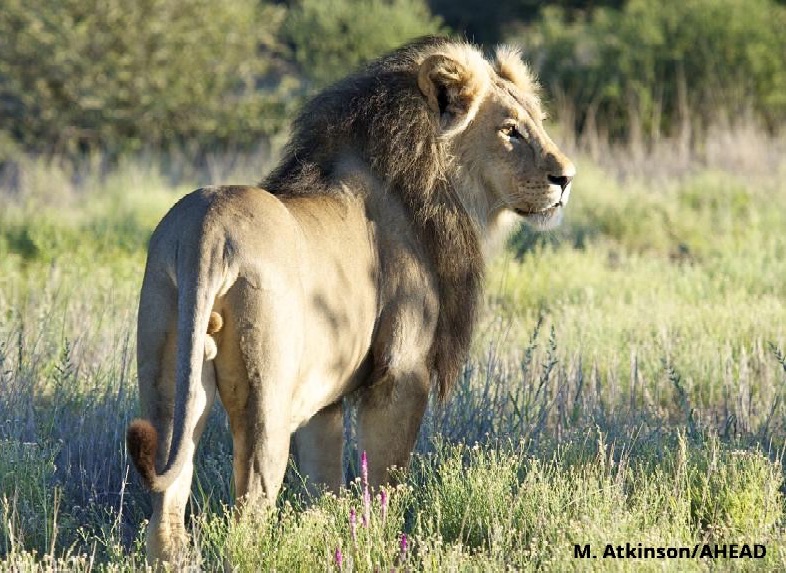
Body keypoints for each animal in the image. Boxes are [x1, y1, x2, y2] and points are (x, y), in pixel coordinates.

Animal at [126, 36, 575, 564]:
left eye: (539, 121)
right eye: (510, 131)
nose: (566, 178)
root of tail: (207, 228)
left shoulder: (325, 399)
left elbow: (325, 485)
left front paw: (331, 535)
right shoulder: (401, 374)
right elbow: (384, 479)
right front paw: (382, 544)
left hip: (170, 373)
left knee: (168, 501)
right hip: (266, 398)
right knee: (249, 510)